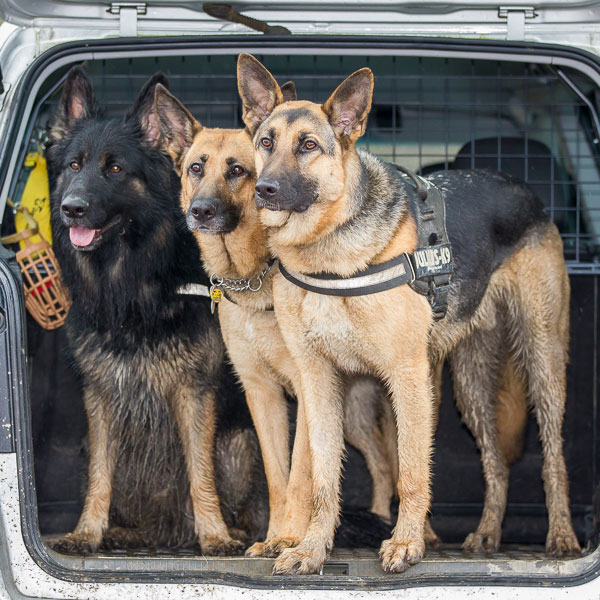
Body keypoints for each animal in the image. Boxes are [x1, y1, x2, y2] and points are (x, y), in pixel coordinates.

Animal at [152, 83, 414, 556]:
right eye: (196, 168)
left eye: (238, 170)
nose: (200, 211)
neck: (258, 275)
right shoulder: (262, 392)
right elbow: (278, 476)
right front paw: (276, 536)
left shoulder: (307, 391)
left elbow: (301, 475)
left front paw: (292, 537)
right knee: (383, 462)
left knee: (390, 457)